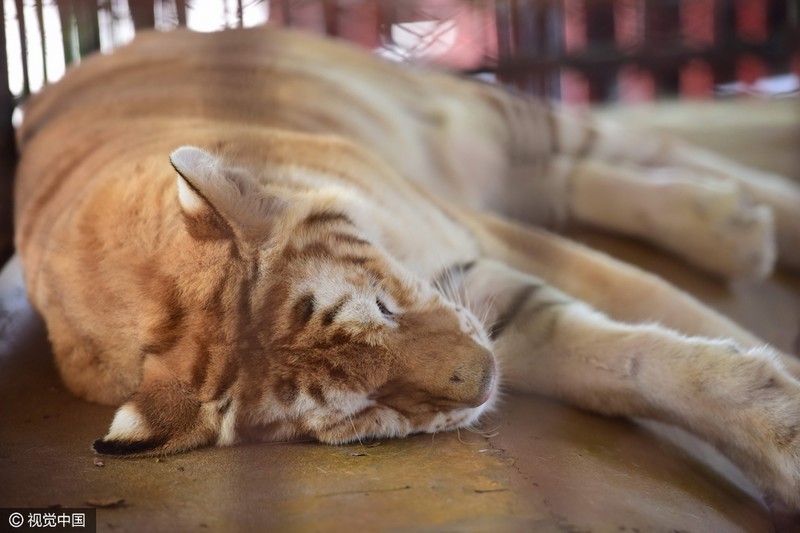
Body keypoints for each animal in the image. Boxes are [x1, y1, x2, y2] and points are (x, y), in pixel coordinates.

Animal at [11, 27, 800, 512]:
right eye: (363, 406)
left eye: (383, 308)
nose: (483, 379)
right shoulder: (490, 307)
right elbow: (623, 364)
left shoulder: (470, 242)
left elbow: (662, 305)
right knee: (577, 178)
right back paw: (733, 228)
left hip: (494, 112)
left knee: (657, 150)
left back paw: (740, 225)